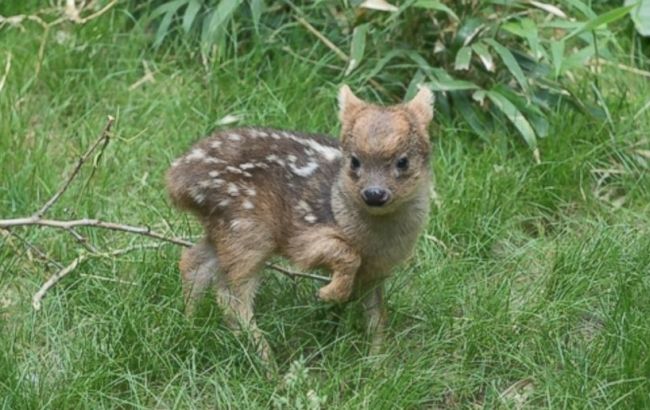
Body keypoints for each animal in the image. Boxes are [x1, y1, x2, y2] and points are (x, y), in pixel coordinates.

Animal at [165, 85, 432, 358]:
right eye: (354, 161)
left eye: (403, 161)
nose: (374, 194)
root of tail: (177, 180)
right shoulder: (303, 235)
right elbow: (345, 254)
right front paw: (328, 294)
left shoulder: (378, 270)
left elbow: (377, 315)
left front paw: (377, 359)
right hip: (248, 228)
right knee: (231, 296)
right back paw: (267, 361)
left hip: (224, 227)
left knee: (193, 261)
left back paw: (189, 324)